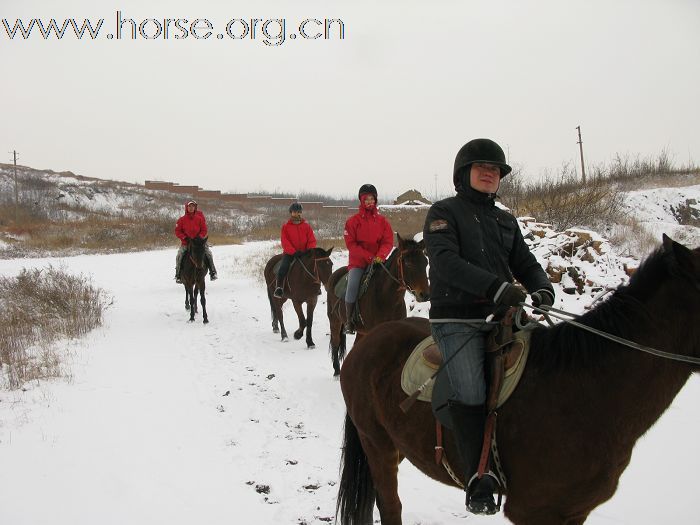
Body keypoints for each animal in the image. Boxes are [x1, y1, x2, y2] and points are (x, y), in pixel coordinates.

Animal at [326, 234, 430, 376]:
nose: (425, 295)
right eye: (408, 263)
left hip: (361, 331)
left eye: (425, 262)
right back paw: (337, 371)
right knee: (336, 343)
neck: (387, 298)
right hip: (335, 322)